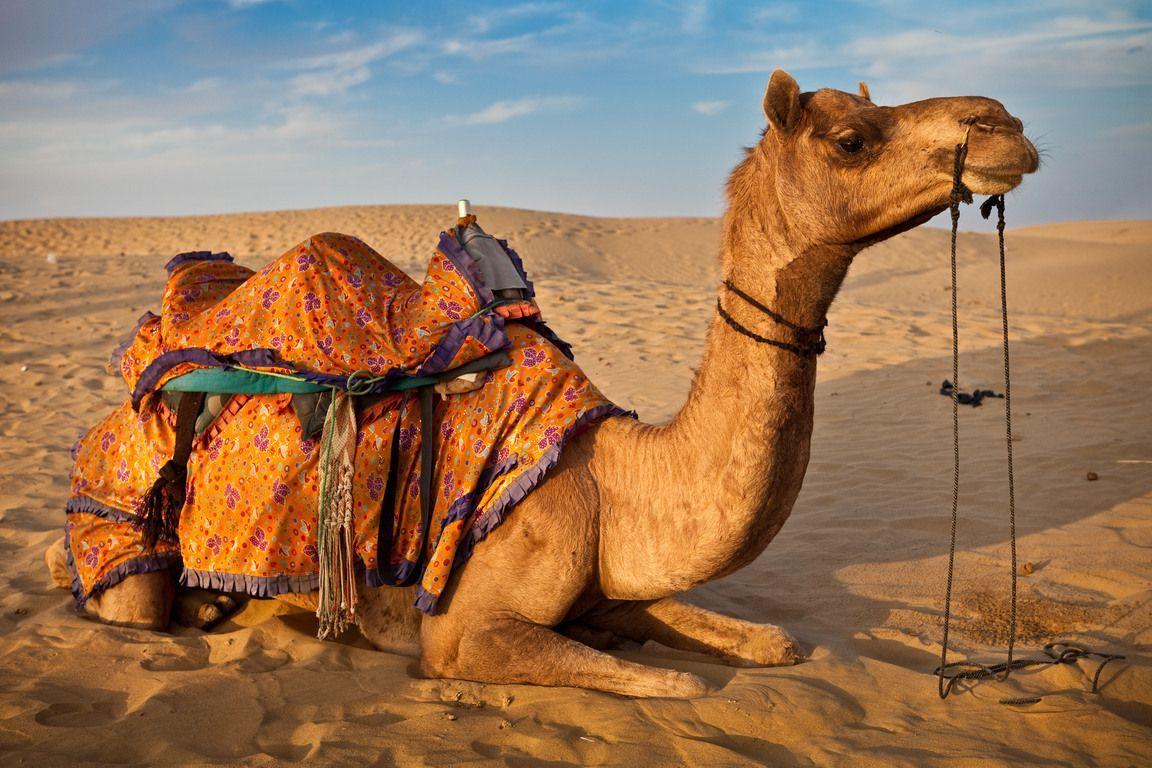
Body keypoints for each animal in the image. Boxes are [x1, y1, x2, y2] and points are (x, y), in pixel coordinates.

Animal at [44, 70, 1041, 695]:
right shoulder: (466, 631)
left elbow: (772, 639)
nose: (1008, 125)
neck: (614, 481)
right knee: (113, 588)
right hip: (124, 519)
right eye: (851, 138)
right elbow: (676, 686)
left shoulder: (616, 583)